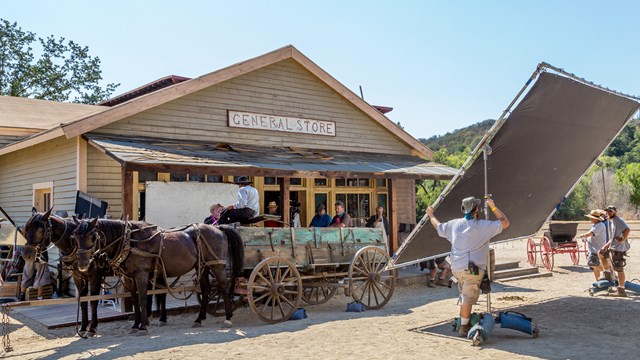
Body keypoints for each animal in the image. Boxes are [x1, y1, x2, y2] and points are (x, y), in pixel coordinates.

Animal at [71, 218, 244, 334]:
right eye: (75, 237)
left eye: (93, 237)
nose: (82, 264)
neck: (130, 241)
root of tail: (219, 228)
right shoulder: (129, 277)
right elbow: (135, 300)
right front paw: (135, 324)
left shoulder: (141, 273)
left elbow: (142, 298)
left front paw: (143, 326)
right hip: (202, 267)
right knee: (207, 290)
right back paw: (199, 319)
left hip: (217, 265)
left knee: (224, 288)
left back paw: (228, 318)